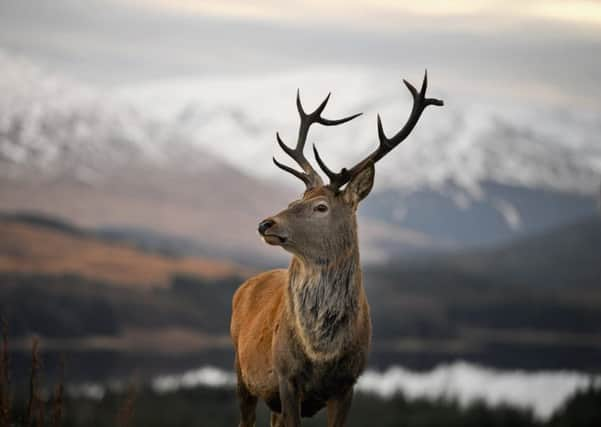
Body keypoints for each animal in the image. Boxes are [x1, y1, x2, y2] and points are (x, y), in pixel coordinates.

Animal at [230, 72, 440, 426]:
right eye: (294, 201)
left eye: (321, 207)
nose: (265, 224)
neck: (321, 354)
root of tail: (244, 286)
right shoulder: (287, 378)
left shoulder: (348, 383)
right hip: (241, 372)